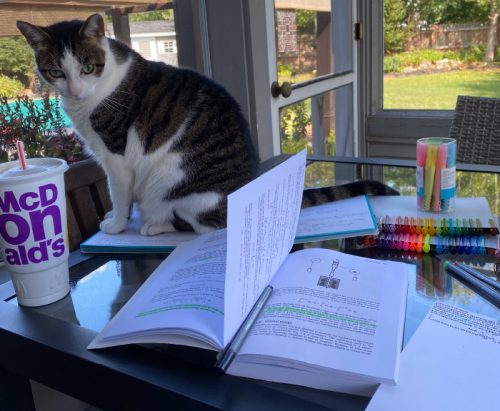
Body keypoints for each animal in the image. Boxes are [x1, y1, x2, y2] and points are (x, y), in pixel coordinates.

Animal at [16, 13, 398, 235]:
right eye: (55, 71)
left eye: (87, 67)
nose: (74, 90)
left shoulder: (115, 156)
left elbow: (119, 194)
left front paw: (116, 223)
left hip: (172, 186)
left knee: (197, 224)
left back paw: (155, 226)